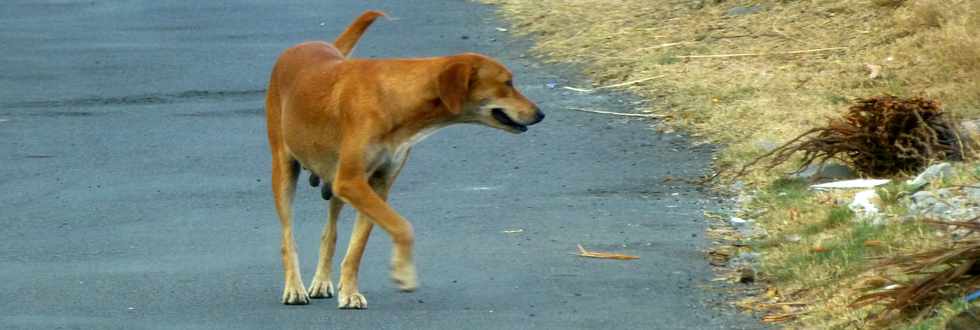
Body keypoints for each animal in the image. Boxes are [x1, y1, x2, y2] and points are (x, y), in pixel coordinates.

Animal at [264, 10, 548, 310]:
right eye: (507, 83)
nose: (540, 113)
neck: (395, 97)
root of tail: (310, 44)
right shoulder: (352, 182)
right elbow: (403, 227)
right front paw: (404, 273)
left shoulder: (375, 185)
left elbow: (357, 247)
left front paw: (350, 291)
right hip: (285, 170)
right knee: (287, 237)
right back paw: (294, 287)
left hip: (334, 180)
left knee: (329, 235)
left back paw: (321, 281)